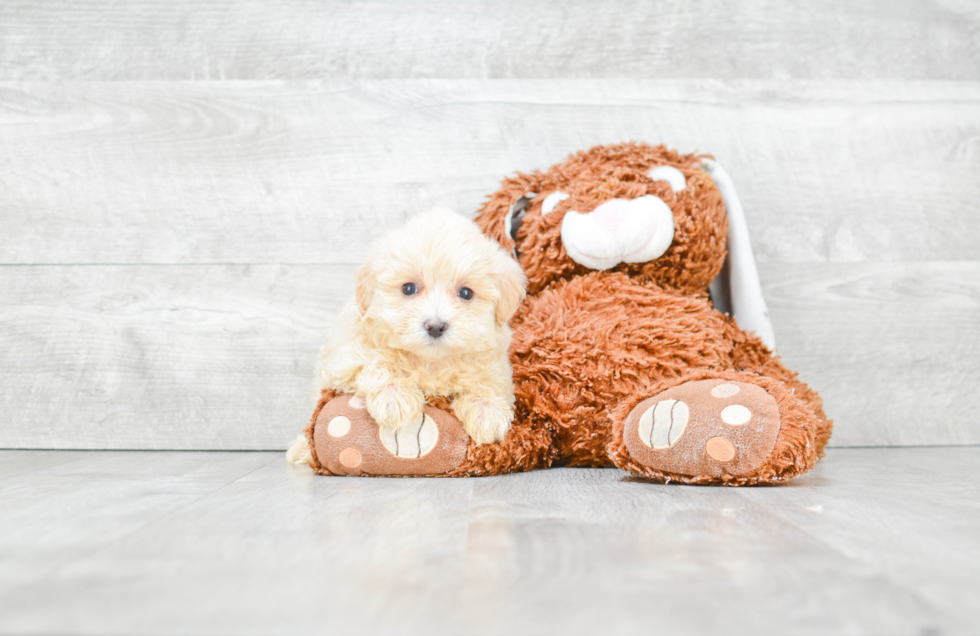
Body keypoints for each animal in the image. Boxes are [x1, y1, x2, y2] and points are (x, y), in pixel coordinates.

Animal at [288, 209, 524, 462]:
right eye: (409, 288)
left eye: (466, 293)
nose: (435, 326)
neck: (430, 362)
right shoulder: (344, 363)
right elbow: (374, 363)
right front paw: (394, 398)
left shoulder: (494, 365)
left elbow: (487, 382)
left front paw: (486, 411)